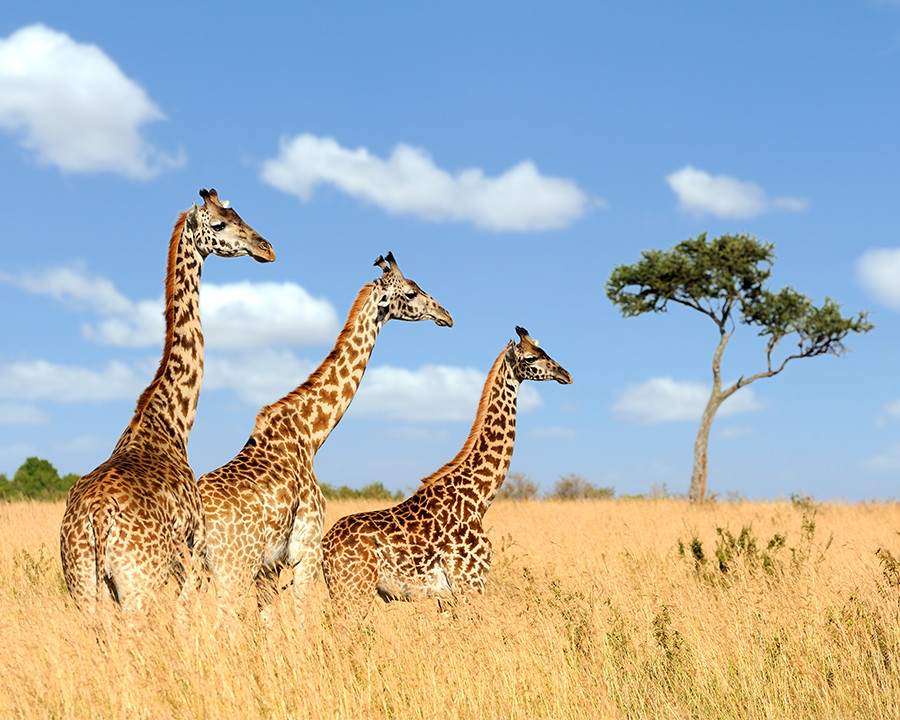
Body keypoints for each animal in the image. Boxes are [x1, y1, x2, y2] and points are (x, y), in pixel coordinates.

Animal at [59, 189, 275, 614]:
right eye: (220, 224)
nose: (267, 248)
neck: (171, 420)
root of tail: (96, 519)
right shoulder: (193, 550)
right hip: (137, 584)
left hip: (82, 585)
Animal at [198, 252, 453, 616]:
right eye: (412, 292)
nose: (446, 316)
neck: (310, 433)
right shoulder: (306, 549)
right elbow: (303, 617)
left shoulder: (270, 565)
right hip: (233, 566)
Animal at [321, 326, 572, 623]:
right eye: (532, 358)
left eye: (545, 351)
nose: (565, 374)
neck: (479, 498)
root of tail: (324, 546)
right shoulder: (470, 583)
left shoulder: (449, 597)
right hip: (353, 590)